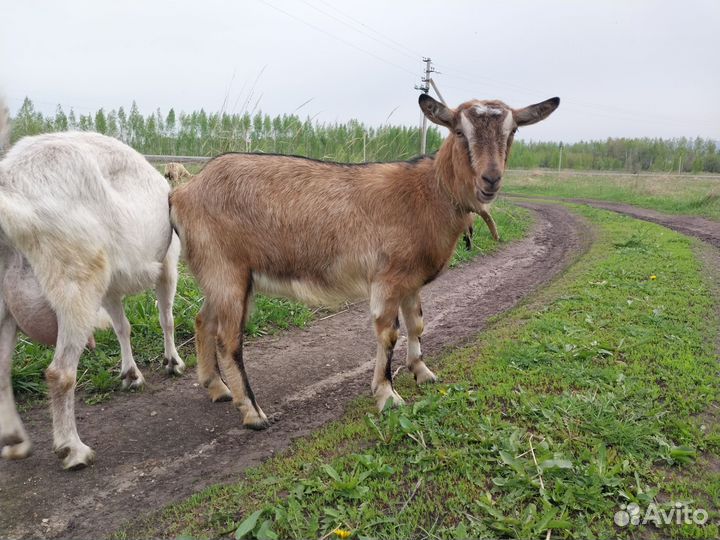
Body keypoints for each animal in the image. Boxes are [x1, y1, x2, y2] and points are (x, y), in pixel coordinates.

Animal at [0, 119, 185, 469]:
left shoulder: (111, 288)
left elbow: (122, 327)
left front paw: (131, 374)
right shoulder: (168, 264)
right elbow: (166, 317)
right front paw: (173, 362)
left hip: (7, 305)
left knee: (2, 371)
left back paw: (15, 441)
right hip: (78, 282)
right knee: (60, 373)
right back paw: (72, 449)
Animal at [170, 95, 559, 429]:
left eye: (513, 131)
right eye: (459, 131)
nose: (490, 179)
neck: (427, 193)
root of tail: (182, 192)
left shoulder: (410, 280)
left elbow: (417, 323)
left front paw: (421, 371)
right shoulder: (387, 277)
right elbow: (389, 332)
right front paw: (387, 394)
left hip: (219, 274)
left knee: (203, 320)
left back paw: (217, 387)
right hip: (227, 269)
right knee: (228, 339)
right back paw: (252, 412)